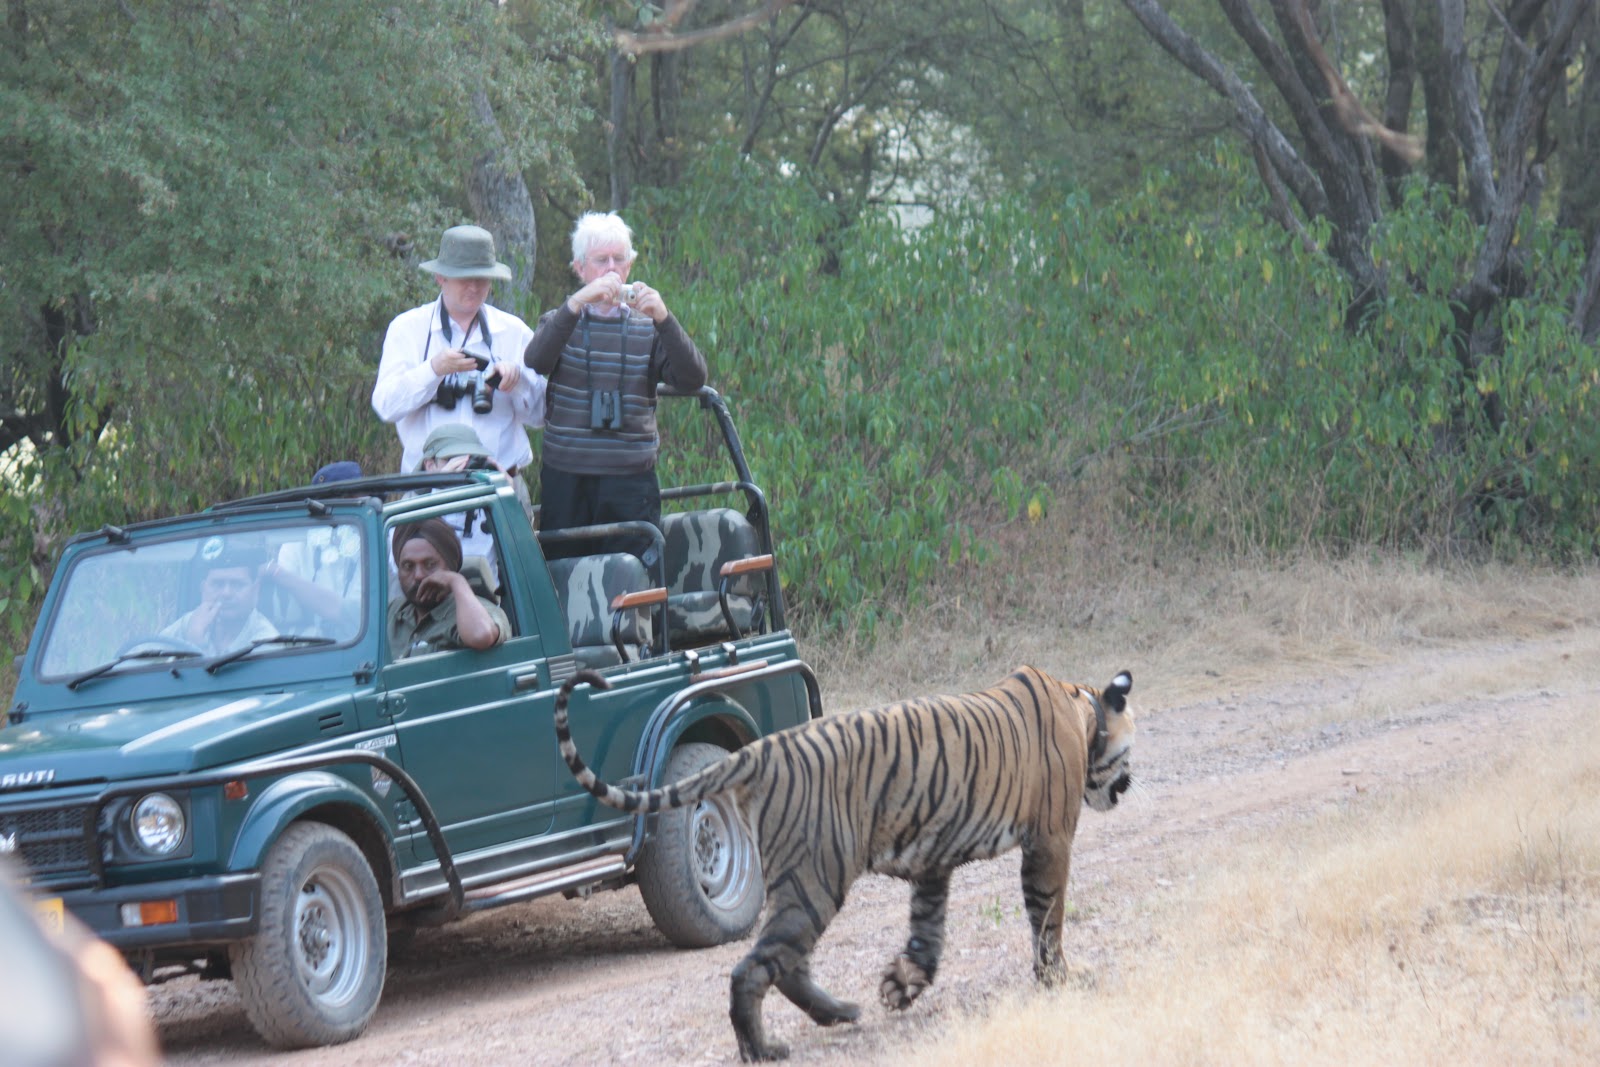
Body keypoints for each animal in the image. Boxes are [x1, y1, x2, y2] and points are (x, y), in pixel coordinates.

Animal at [553, 665, 1134, 1062]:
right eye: (1129, 754)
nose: (1129, 784)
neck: (1082, 707)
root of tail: (762, 749)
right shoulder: (1050, 841)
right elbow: (1048, 915)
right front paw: (1059, 977)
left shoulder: (934, 863)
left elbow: (928, 935)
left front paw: (900, 986)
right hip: (816, 878)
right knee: (753, 968)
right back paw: (763, 1050)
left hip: (804, 880)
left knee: (786, 965)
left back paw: (840, 1013)